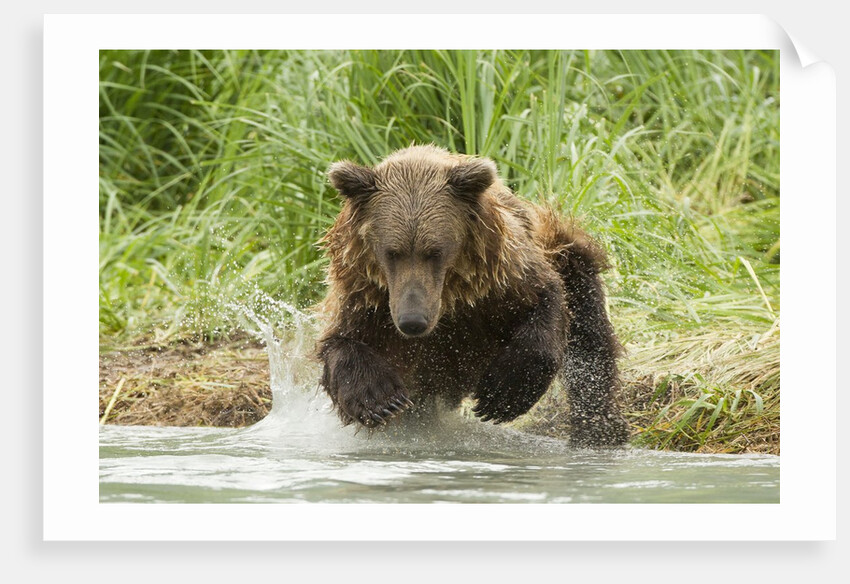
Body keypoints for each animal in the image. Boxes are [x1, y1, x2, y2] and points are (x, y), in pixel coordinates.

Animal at [316, 145, 629, 447]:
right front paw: (381, 400)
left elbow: (544, 305)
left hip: (564, 251)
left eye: (435, 251)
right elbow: (341, 343)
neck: (451, 297)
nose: (412, 321)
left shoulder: (503, 276)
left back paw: (599, 430)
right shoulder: (366, 298)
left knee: (589, 341)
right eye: (392, 252)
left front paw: (501, 395)